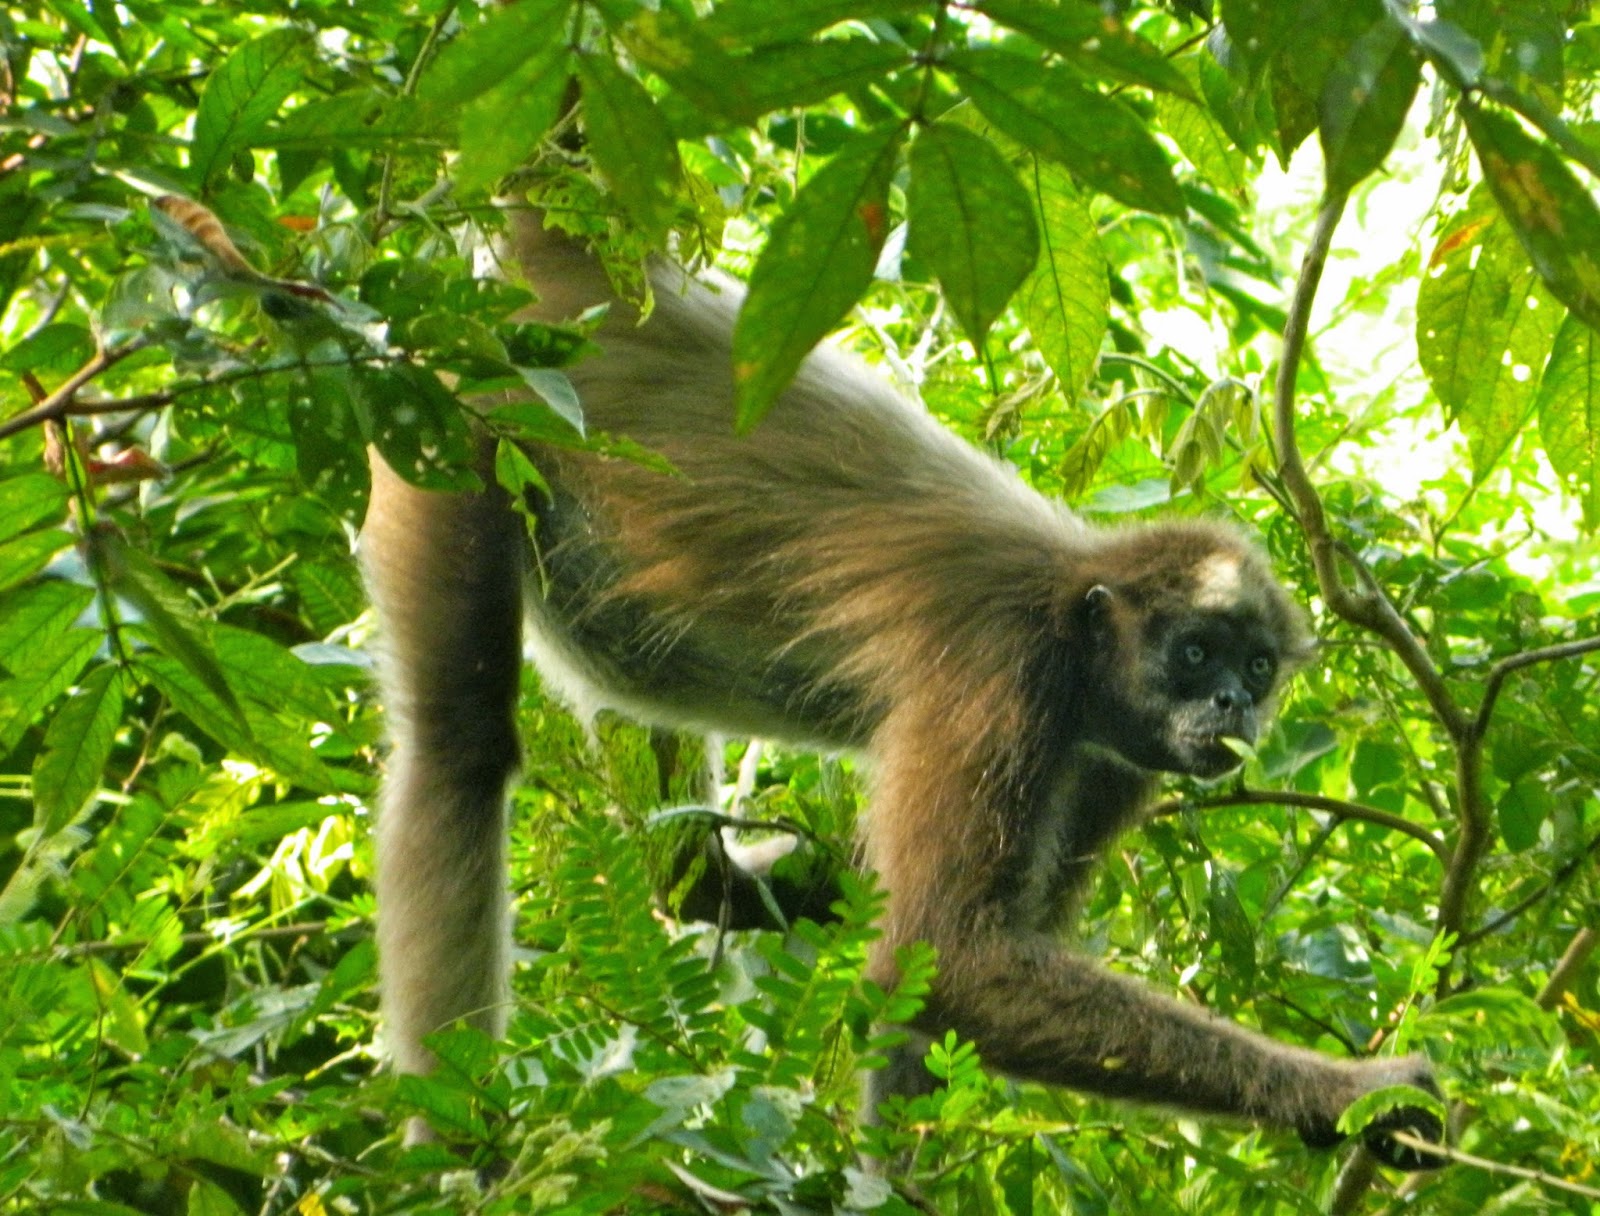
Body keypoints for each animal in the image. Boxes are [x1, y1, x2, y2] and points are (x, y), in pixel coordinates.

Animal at [360, 207, 1444, 1170]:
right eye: (1195, 653)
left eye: (1256, 668)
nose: (1233, 706)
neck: (1072, 612)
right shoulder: (1003, 672)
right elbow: (951, 959)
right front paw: (1350, 1096)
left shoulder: (1114, 759)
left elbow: (934, 988)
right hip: (450, 424)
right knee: (461, 744)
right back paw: (458, 1154)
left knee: (677, 853)